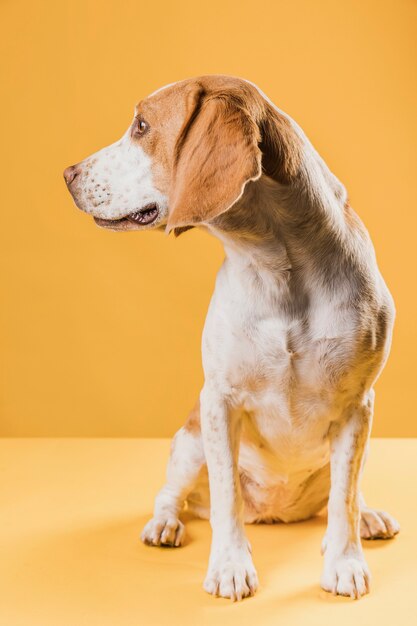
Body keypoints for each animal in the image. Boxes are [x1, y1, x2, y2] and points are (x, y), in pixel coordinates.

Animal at [63, 74, 398, 600]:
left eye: (142, 127)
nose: (68, 173)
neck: (278, 268)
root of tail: (276, 511)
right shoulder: (218, 401)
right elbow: (226, 496)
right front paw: (230, 565)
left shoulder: (356, 407)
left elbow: (343, 497)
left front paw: (345, 561)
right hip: (189, 440)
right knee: (172, 495)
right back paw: (165, 524)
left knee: (345, 493)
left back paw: (366, 516)